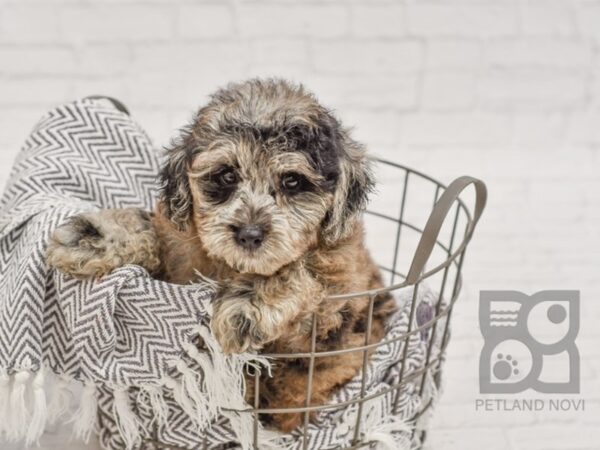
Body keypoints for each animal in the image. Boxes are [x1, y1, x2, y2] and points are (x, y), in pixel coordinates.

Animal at [45, 79, 394, 430]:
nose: (249, 234)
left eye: (292, 181)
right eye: (227, 175)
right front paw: (95, 235)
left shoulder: (334, 311)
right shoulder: (177, 255)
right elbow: (153, 229)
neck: (230, 266)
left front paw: (249, 302)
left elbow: (304, 270)